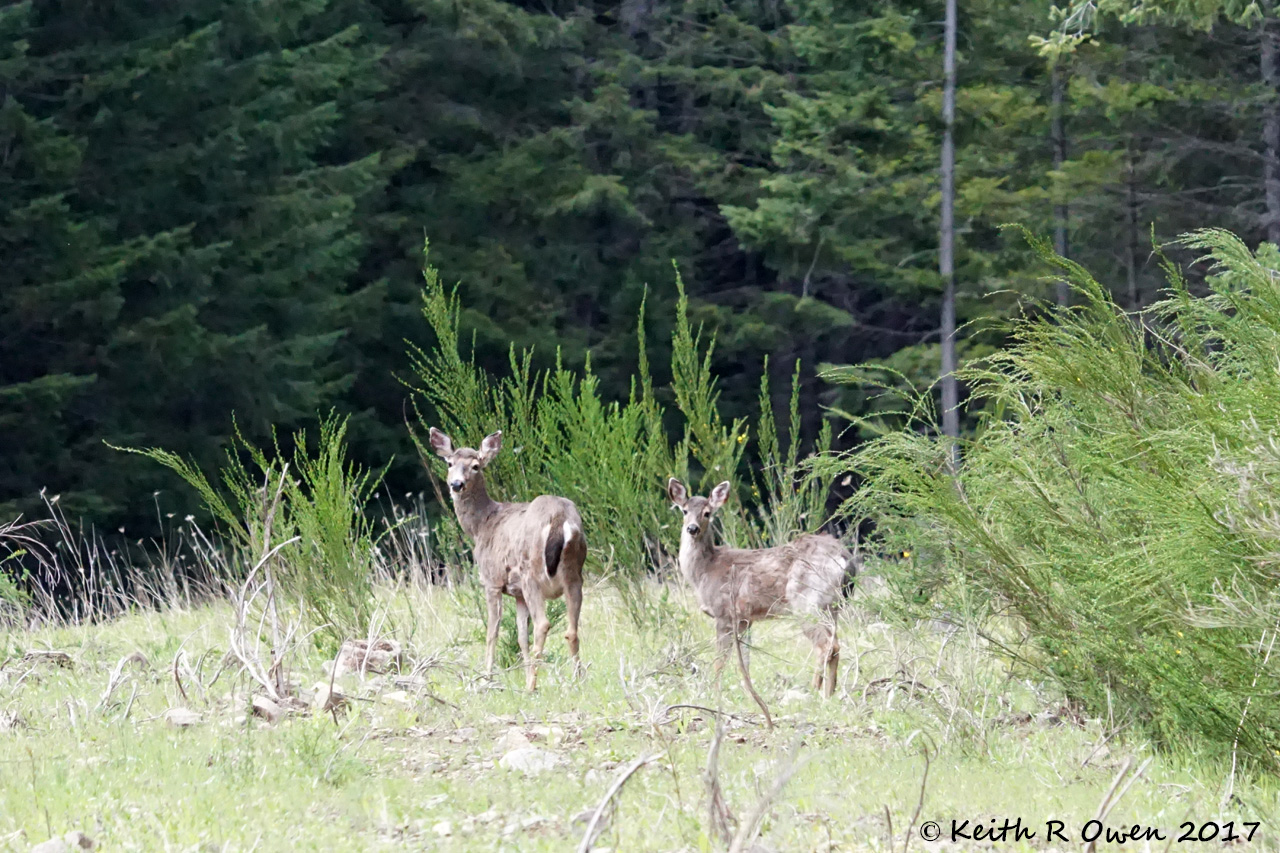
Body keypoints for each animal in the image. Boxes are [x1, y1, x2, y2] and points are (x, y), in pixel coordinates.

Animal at [428, 428, 587, 691]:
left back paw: (531, 686)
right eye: (450, 463)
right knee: (571, 630)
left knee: (543, 624)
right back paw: (577, 680)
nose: (456, 484)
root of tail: (560, 519)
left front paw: (487, 678)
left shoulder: (492, 580)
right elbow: (521, 636)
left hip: (531, 573)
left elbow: (492, 631)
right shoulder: (518, 593)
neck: (481, 526)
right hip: (574, 574)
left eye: (475, 466)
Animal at [667, 478, 851, 698]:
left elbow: (720, 660)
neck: (705, 571)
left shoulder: (724, 613)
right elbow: (745, 661)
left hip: (806, 602)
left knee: (825, 645)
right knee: (836, 645)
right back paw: (830, 693)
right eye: (684, 510)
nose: (692, 528)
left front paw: (715, 693)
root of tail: (843, 555)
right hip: (832, 607)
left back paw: (814, 690)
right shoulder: (745, 619)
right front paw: (749, 693)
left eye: (707, 513)